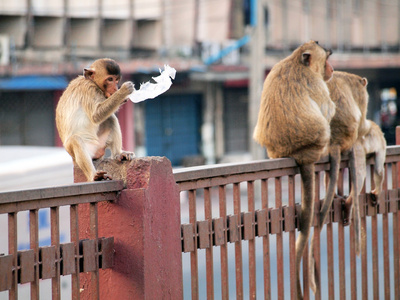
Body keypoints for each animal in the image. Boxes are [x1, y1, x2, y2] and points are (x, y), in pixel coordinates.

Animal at [253, 40, 334, 300]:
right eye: (326, 58)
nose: (330, 68)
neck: (295, 60)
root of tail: (299, 153)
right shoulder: (315, 83)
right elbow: (328, 109)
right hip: (317, 143)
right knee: (325, 122)